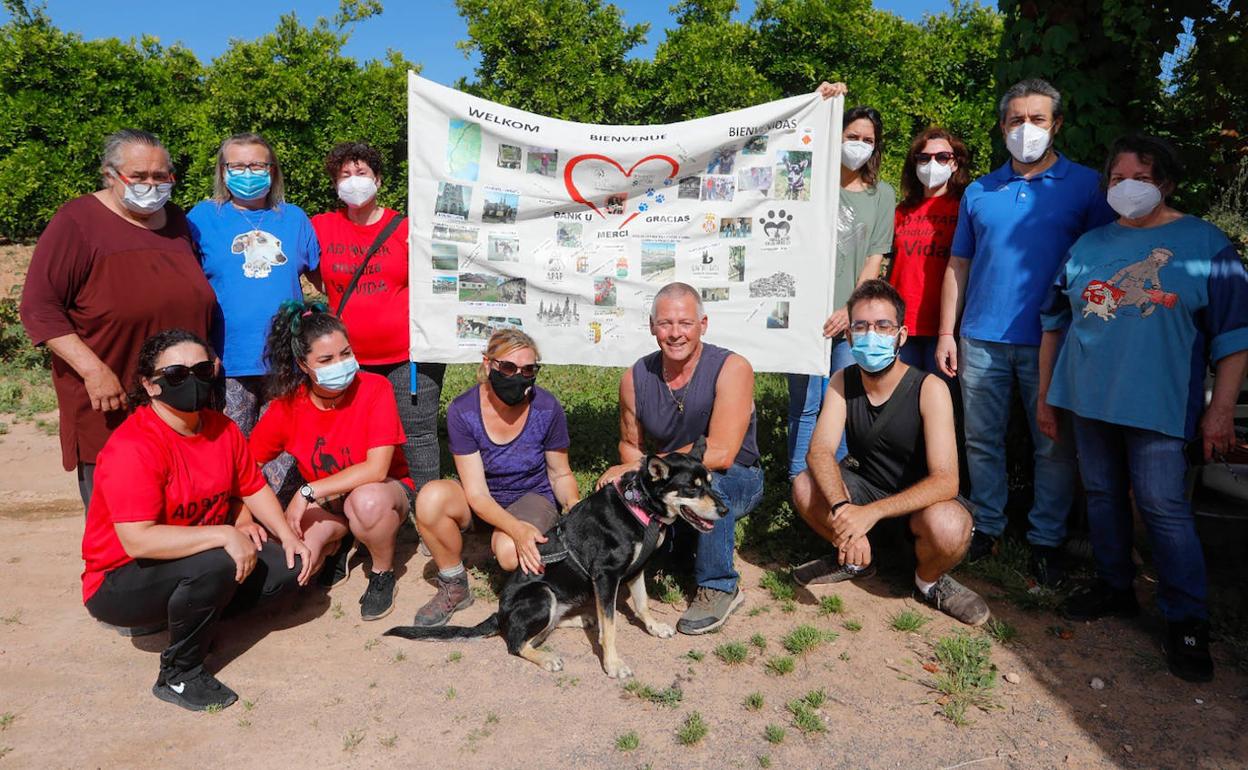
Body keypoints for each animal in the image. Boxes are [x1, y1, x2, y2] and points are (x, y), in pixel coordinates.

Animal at [384, 449, 728, 678]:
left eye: (711, 482)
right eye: (692, 487)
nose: (725, 510)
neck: (639, 505)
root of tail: (500, 613)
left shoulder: (635, 569)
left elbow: (642, 604)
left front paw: (654, 627)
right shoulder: (606, 577)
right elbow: (612, 627)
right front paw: (613, 664)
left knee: (545, 627)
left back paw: (582, 619)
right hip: (541, 593)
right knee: (516, 642)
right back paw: (547, 657)